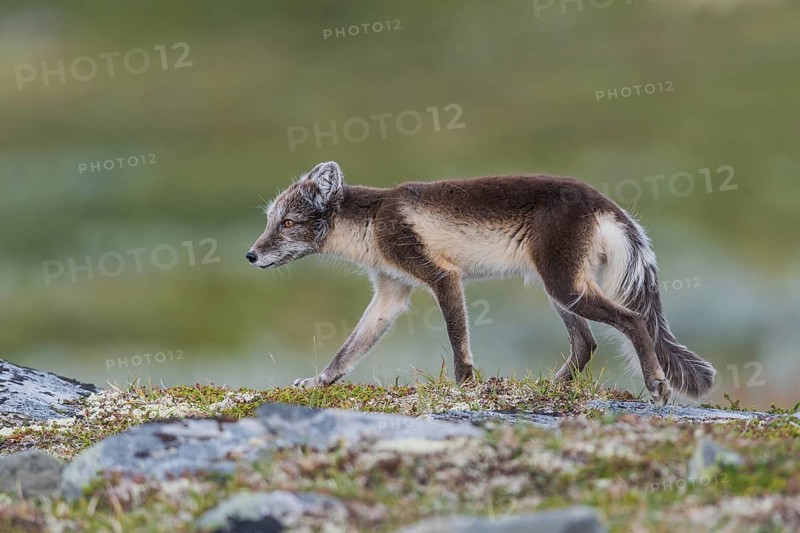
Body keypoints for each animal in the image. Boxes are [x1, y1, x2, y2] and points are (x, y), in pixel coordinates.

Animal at [246, 161, 716, 405]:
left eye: (288, 224)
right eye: (270, 221)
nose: (251, 256)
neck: (372, 221)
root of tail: (604, 202)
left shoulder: (442, 276)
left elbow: (458, 341)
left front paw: (464, 386)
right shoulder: (391, 293)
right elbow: (349, 349)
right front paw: (318, 382)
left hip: (566, 288)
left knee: (633, 320)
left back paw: (655, 385)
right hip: (560, 290)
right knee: (586, 343)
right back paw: (551, 388)